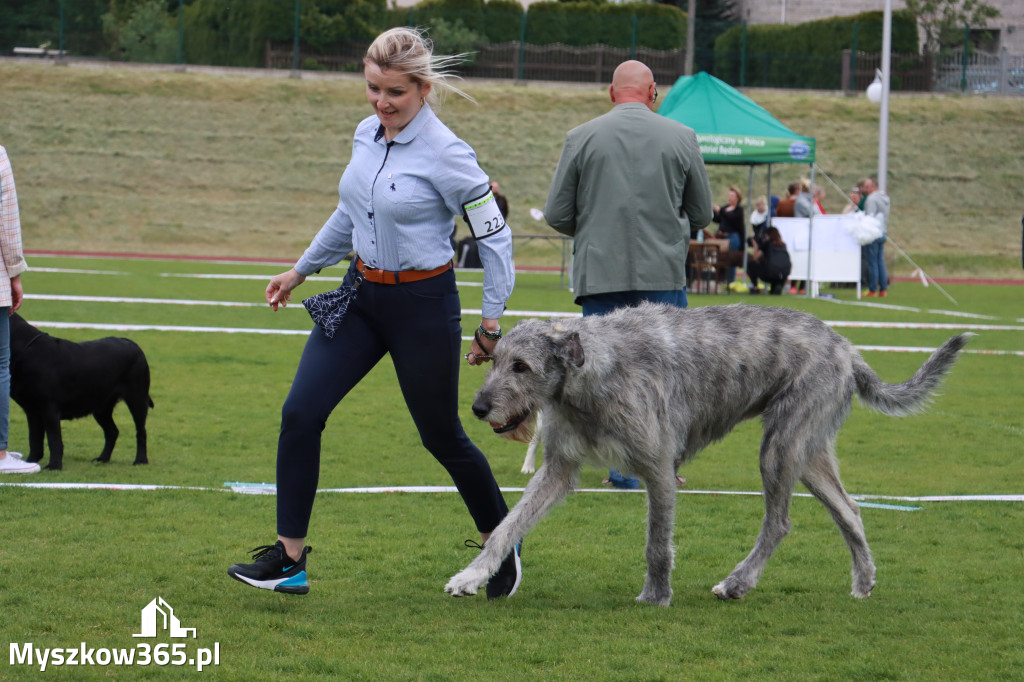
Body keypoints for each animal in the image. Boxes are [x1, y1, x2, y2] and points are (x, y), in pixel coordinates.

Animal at [8, 311, 153, 466]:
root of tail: (132, 343)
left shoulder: (49, 408)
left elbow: (54, 440)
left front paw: (54, 466)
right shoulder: (32, 411)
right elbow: (34, 440)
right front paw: (31, 462)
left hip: (136, 399)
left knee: (141, 431)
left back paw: (141, 460)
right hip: (101, 407)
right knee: (112, 432)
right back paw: (103, 458)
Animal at [446, 301, 966, 602]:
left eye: (522, 366)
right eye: (494, 359)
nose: (477, 407)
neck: (590, 374)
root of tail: (847, 348)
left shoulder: (658, 466)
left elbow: (657, 543)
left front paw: (656, 596)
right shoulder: (558, 468)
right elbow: (507, 526)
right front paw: (472, 575)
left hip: (780, 448)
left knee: (779, 522)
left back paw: (738, 582)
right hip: (809, 452)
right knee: (850, 509)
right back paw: (862, 580)